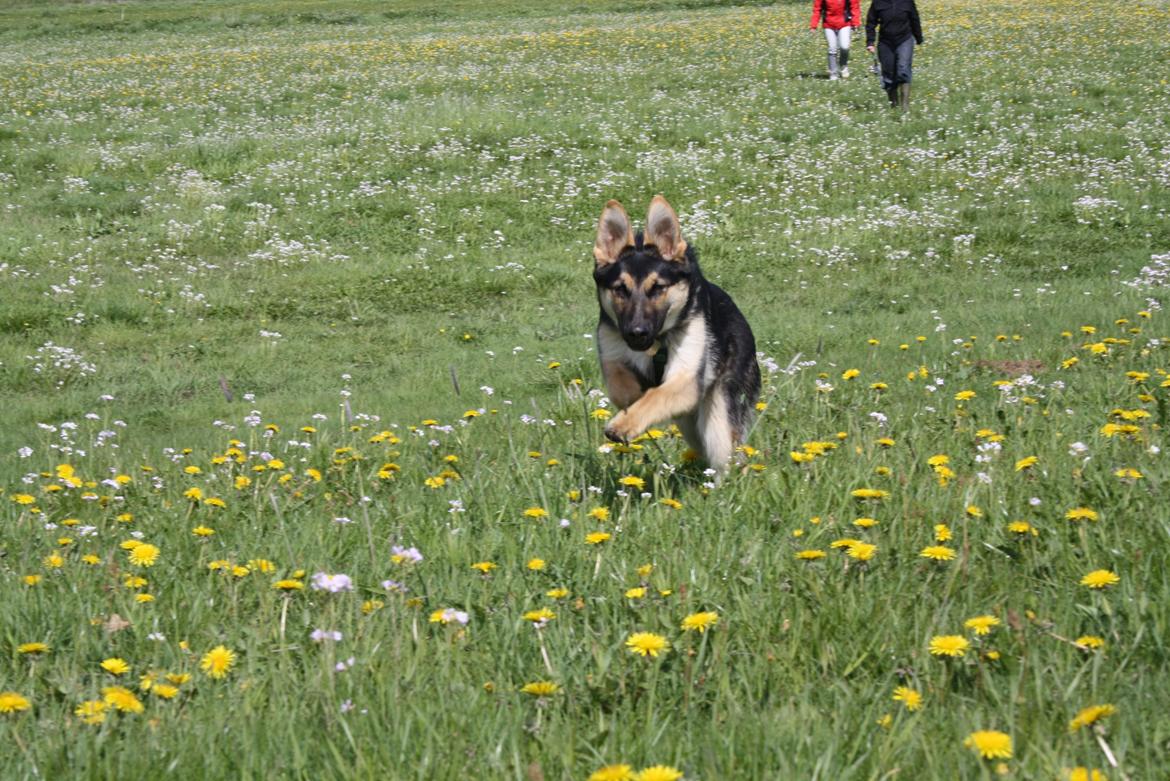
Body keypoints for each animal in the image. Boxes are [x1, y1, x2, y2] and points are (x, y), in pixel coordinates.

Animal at [589, 198, 762, 472]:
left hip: (719, 418)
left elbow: (656, 395)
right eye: (620, 289)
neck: (656, 344)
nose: (637, 333)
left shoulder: (687, 378)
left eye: (658, 288)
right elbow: (623, 388)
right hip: (689, 424)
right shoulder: (612, 352)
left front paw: (624, 424)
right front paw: (632, 405)